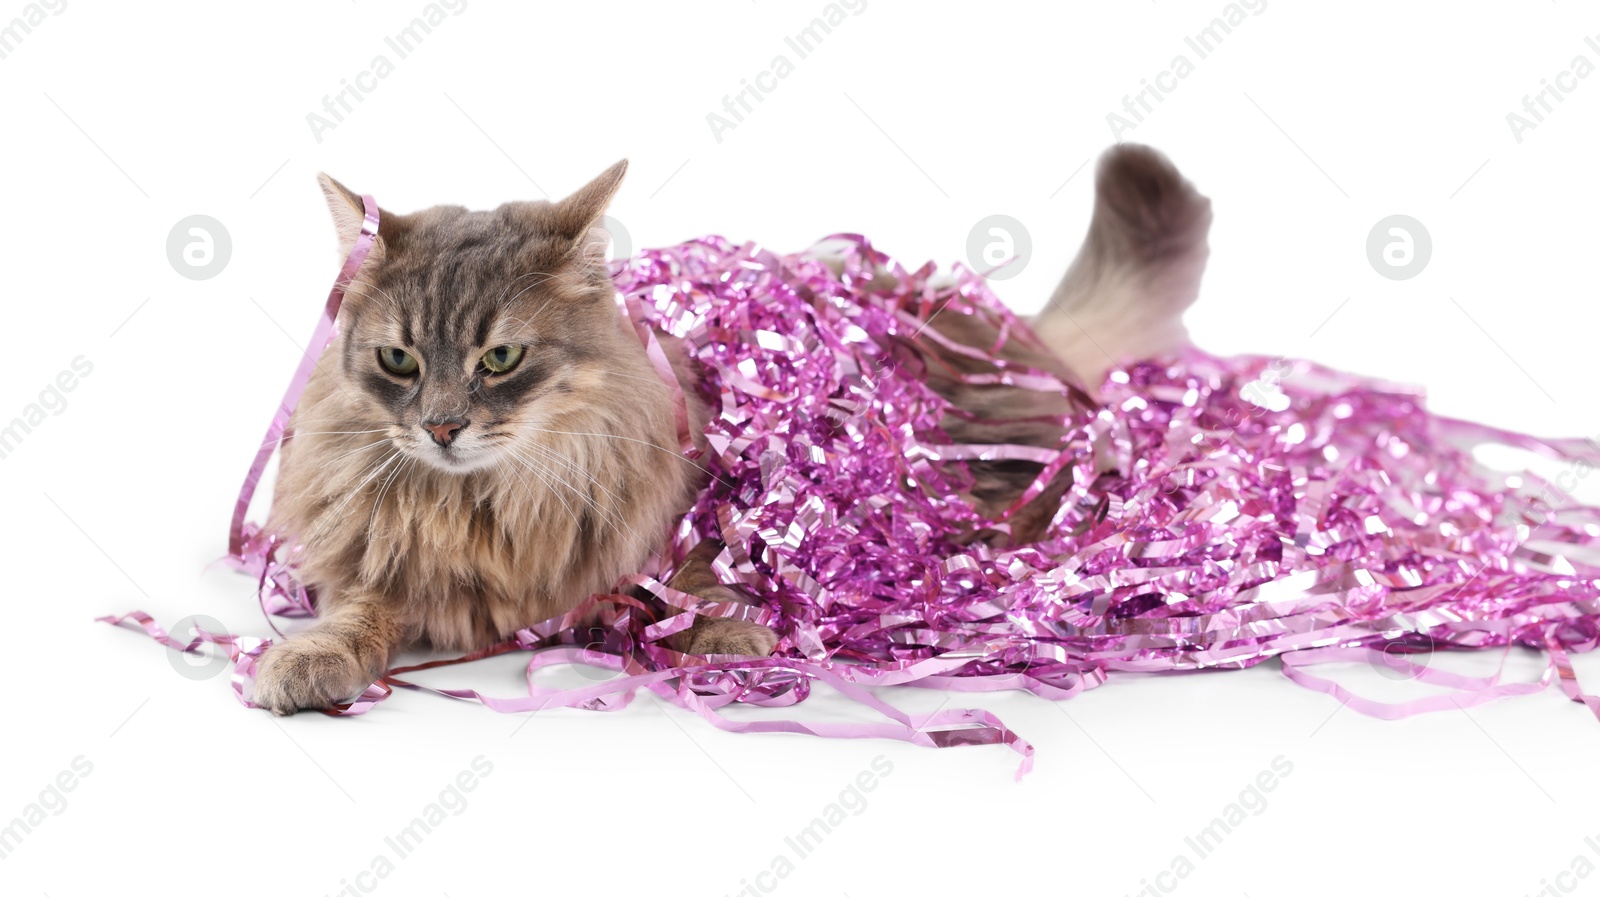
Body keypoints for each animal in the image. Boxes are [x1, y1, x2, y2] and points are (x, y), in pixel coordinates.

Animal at [249, 141, 1203, 713]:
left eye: (500, 358)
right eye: (399, 361)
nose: (443, 428)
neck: (488, 503)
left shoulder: (696, 509)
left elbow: (697, 575)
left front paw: (728, 631)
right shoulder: (374, 560)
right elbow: (354, 610)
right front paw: (306, 659)